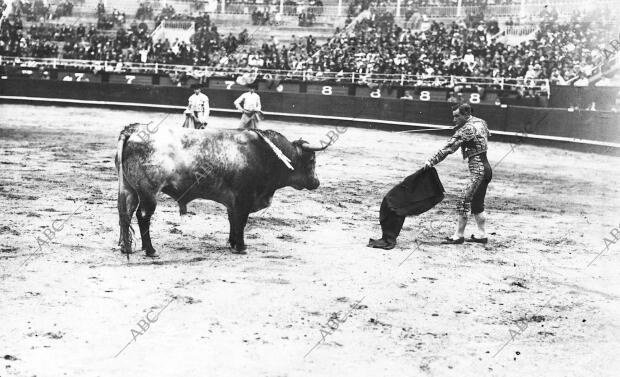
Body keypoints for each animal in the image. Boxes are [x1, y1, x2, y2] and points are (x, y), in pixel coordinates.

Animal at [117, 123, 330, 256]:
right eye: (312, 160)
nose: (317, 182)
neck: (265, 154)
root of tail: (133, 130)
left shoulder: (233, 200)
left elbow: (233, 221)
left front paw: (233, 243)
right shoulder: (245, 198)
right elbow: (241, 221)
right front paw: (241, 247)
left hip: (130, 190)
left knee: (126, 214)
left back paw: (127, 248)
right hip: (148, 193)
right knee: (143, 217)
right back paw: (150, 250)